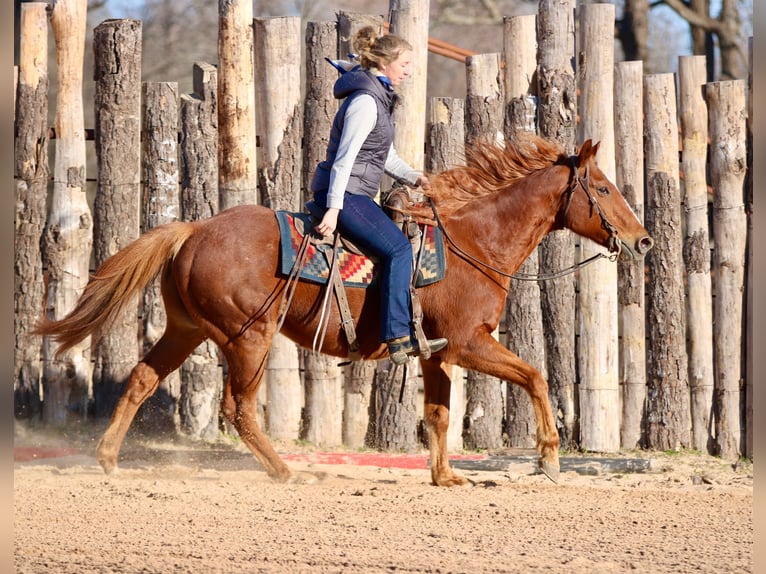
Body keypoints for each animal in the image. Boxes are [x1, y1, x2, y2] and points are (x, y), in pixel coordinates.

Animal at [36, 135, 654, 486]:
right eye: (602, 186)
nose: (643, 240)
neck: (474, 242)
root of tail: (193, 230)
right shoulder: (469, 342)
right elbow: (535, 376)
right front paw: (548, 458)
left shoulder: (437, 354)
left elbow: (438, 414)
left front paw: (445, 478)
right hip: (248, 337)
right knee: (239, 408)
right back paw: (285, 472)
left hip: (186, 329)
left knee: (142, 379)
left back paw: (108, 460)